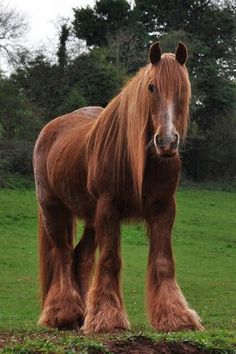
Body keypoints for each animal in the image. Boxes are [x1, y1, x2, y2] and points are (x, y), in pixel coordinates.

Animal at [33, 42, 203, 334]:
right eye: (151, 87)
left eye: (183, 88)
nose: (166, 142)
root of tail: (50, 129)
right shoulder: (109, 206)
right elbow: (110, 260)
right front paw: (108, 319)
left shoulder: (163, 208)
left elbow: (163, 262)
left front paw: (175, 316)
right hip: (53, 209)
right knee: (63, 255)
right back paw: (63, 313)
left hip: (91, 219)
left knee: (80, 257)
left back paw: (81, 315)